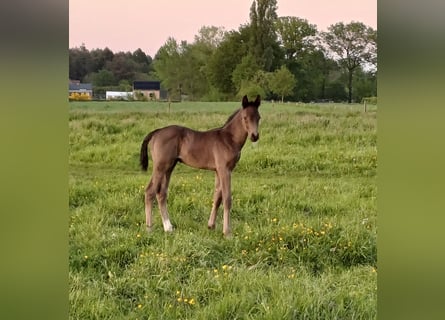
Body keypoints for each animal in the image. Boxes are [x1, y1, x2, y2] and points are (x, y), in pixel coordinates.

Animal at [139, 94, 260, 236]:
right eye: (245, 117)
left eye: (258, 117)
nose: (254, 136)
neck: (228, 139)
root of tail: (157, 132)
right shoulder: (225, 170)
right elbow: (227, 199)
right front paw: (227, 232)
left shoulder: (218, 171)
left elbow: (217, 197)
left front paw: (211, 226)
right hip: (160, 167)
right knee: (150, 192)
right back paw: (149, 228)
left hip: (169, 167)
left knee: (161, 193)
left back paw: (168, 227)